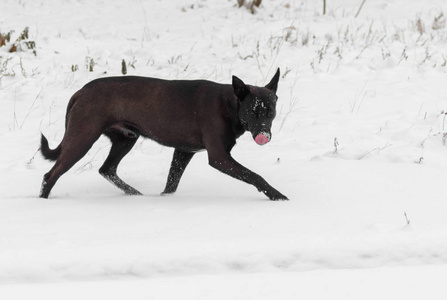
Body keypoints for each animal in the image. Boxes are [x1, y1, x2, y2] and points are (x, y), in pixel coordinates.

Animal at [40, 67, 288, 199]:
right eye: (253, 112)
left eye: (271, 112)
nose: (265, 135)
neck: (230, 105)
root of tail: (79, 92)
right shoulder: (219, 157)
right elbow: (254, 175)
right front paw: (277, 195)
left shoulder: (184, 151)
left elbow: (171, 183)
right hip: (82, 138)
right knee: (50, 175)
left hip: (125, 139)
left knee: (107, 169)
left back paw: (136, 195)